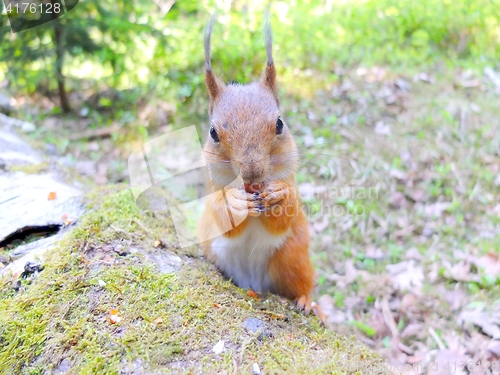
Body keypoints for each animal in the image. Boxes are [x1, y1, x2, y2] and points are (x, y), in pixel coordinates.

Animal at [197, 15, 322, 320]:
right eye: (213, 133)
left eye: (279, 123)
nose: (252, 174)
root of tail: (253, 284)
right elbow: (222, 215)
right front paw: (234, 203)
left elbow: (286, 212)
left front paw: (279, 195)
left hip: (292, 258)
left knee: (301, 285)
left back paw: (307, 302)